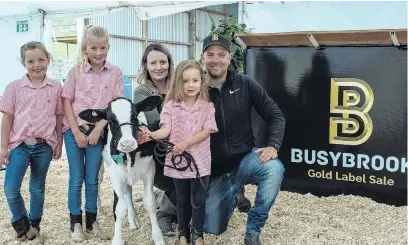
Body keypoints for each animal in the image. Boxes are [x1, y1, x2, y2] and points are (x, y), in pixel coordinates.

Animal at [78, 95, 164, 245]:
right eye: (110, 120)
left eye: (135, 116)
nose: (127, 143)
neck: (130, 156)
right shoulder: (116, 175)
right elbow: (119, 208)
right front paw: (117, 239)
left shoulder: (149, 170)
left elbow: (149, 202)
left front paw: (158, 237)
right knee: (97, 181)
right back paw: (97, 208)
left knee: (128, 191)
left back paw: (133, 219)